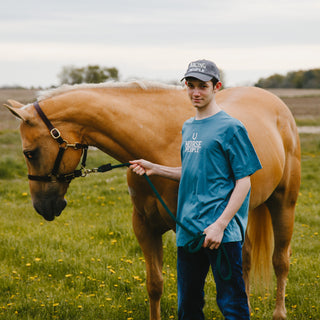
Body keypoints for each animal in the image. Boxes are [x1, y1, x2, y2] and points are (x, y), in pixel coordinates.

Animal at [4, 81, 300, 318]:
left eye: (30, 153)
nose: (43, 207)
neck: (162, 141)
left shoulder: (189, 234)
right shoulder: (145, 227)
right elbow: (155, 285)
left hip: (283, 204)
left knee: (280, 261)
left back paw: (279, 313)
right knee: (245, 261)